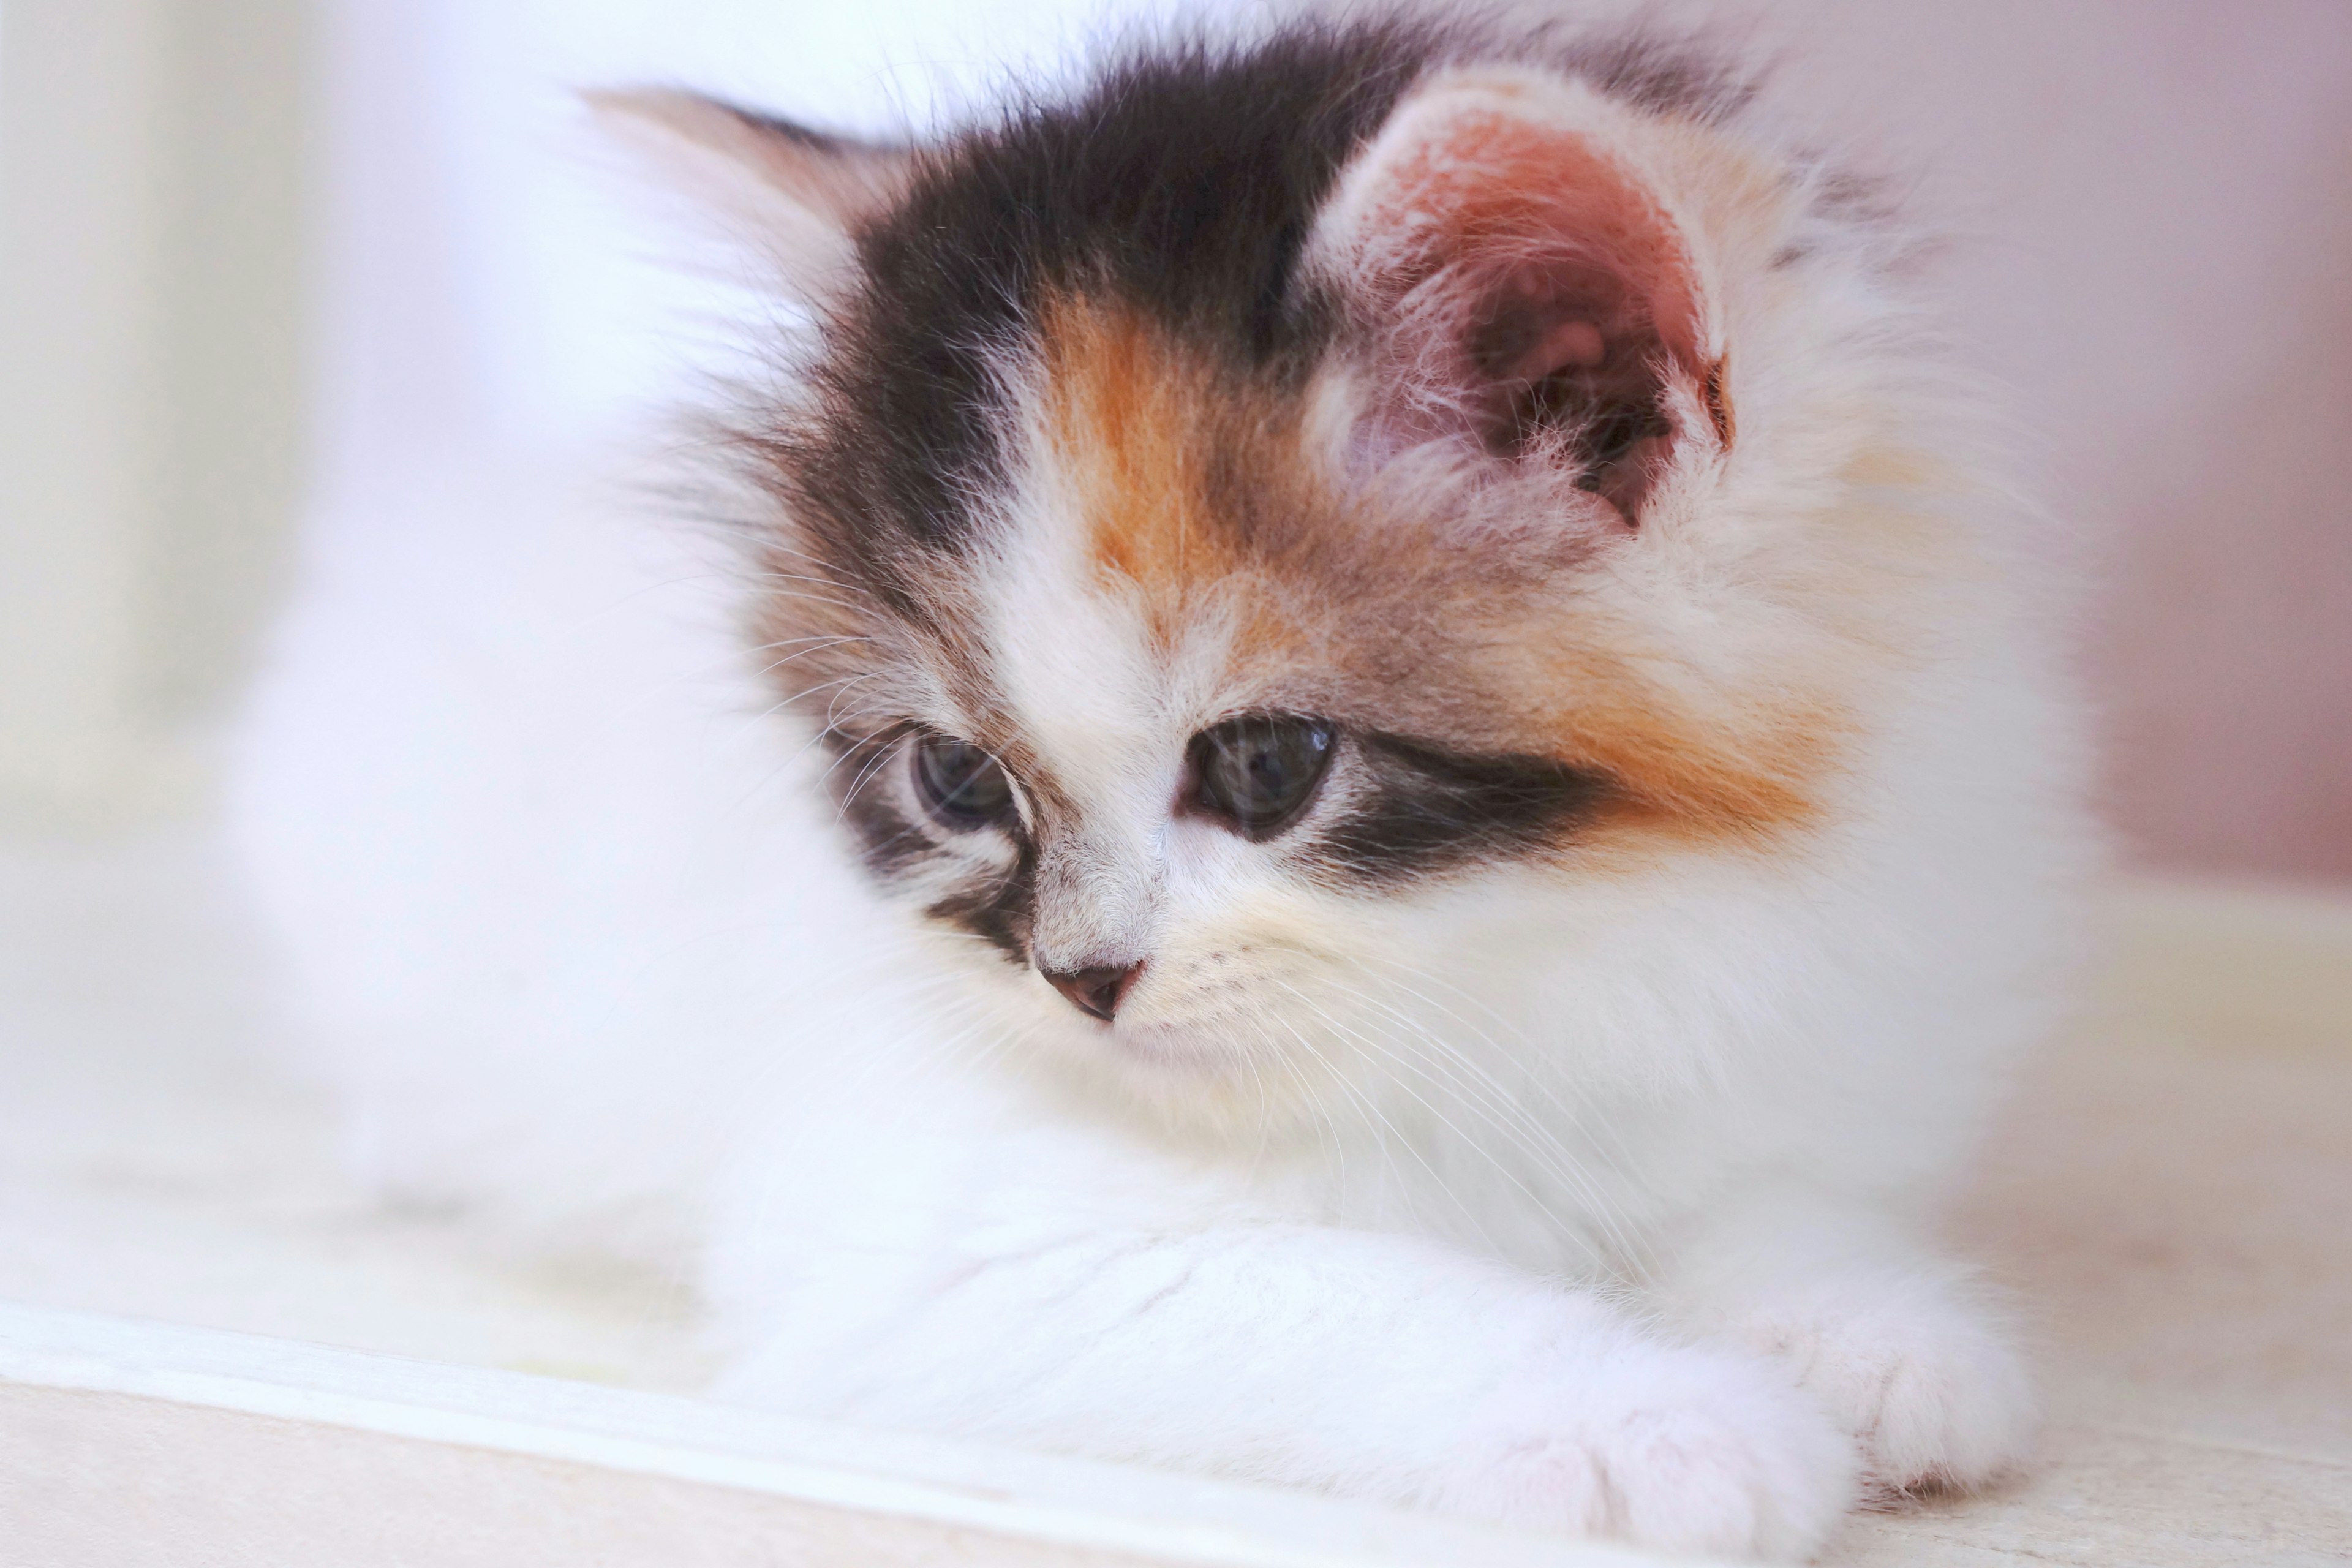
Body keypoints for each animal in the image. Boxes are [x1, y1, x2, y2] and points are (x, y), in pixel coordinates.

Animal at [229, 12, 2088, 1561]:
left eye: (1263, 768)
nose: (1084, 979)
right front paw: (1655, 1419)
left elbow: (1761, 1196)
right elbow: (1344, 1300)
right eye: (958, 778)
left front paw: (1861, 1323)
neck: (1512, 970)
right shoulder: (948, 1246)